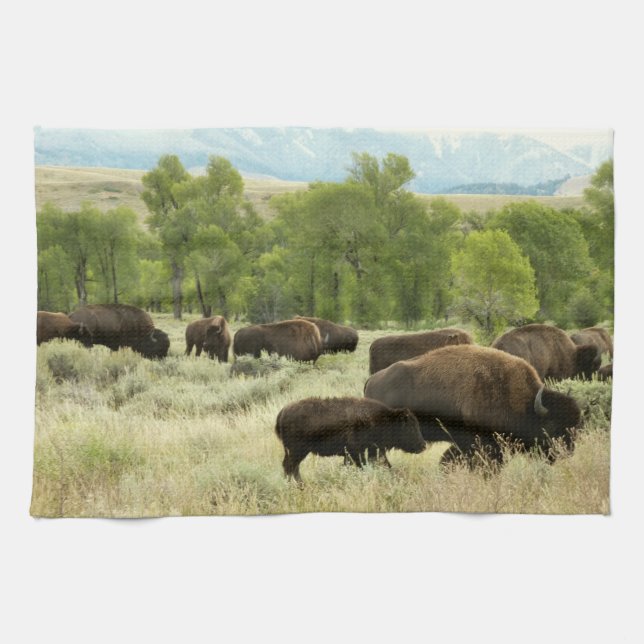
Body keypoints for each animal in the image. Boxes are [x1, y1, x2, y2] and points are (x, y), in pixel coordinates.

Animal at [275, 397, 426, 482]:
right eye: (409, 427)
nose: (423, 445)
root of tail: (283, 412)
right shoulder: (357, 453)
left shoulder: (367, 452)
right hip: (297, 451)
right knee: (290, 467)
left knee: (290, 467)